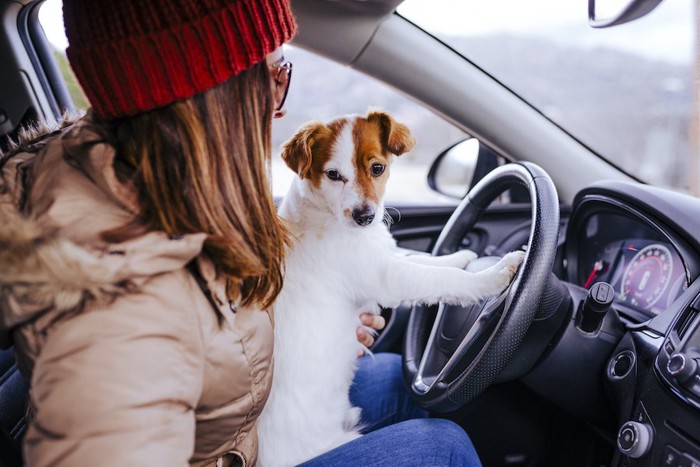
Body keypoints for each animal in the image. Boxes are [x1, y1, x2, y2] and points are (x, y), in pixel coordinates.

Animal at [258, 111, 524, 466]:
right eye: (333, 175)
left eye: (377, 168)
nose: (364, 217)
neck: (324, 213)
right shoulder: (388, 277)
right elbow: (444, 280)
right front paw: (496, 273)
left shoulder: (388, 257)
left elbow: (429, 260)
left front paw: (463, 256)